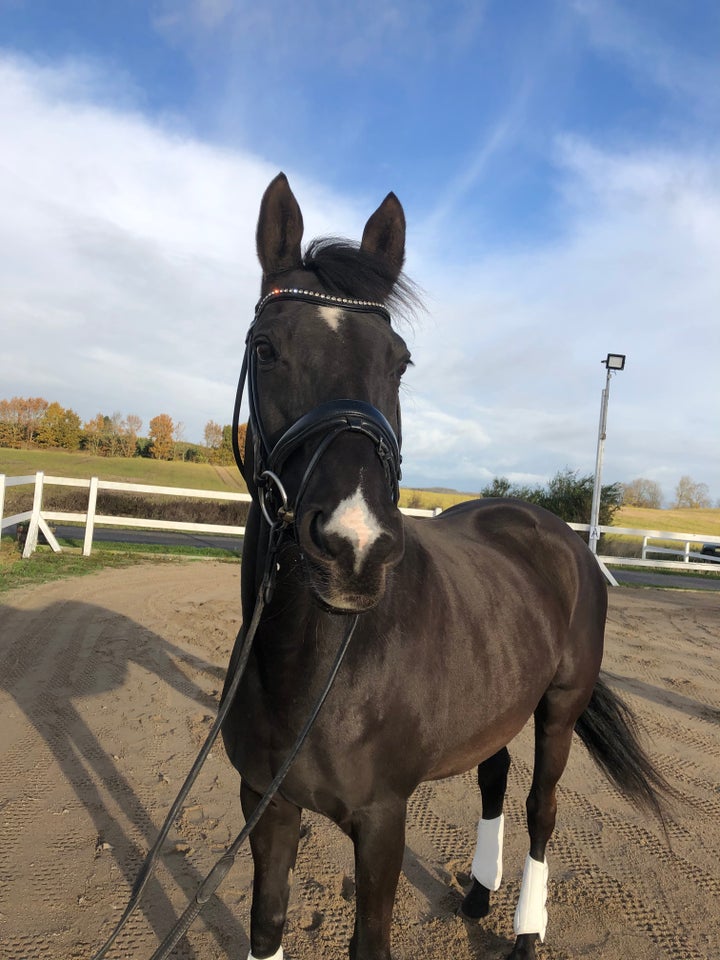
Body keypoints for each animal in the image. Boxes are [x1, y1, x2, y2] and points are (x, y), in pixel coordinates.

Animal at [221, 174, 668, 960]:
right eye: (265, 347)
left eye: (399, 361)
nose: (355, 547)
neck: (315, 668)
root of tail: (553, 531)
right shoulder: (265, 806)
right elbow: (265, 924)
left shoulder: (381, 821)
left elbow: (371, 940)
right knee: (495, 776)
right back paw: (479, 892)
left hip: (559, 704)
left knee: (542, 806)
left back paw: (526, 928)